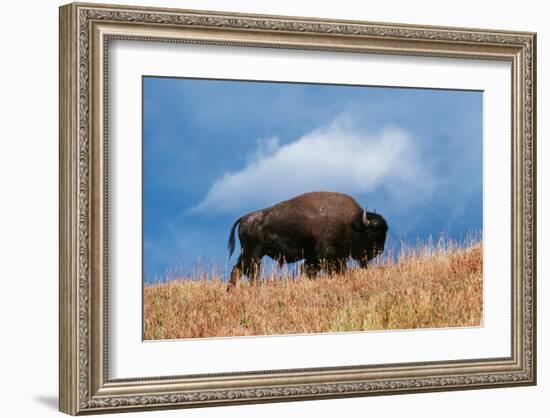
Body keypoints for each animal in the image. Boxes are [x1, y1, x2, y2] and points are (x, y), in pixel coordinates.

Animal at [226, 192, 390, 288]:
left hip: (248, 254)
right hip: (254, 254)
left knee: (238, 270)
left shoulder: (321, 257)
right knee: (250, 272)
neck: (352, 224)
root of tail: (244, 218)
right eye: (372, 234)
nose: (379, 251)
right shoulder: (325, 255)